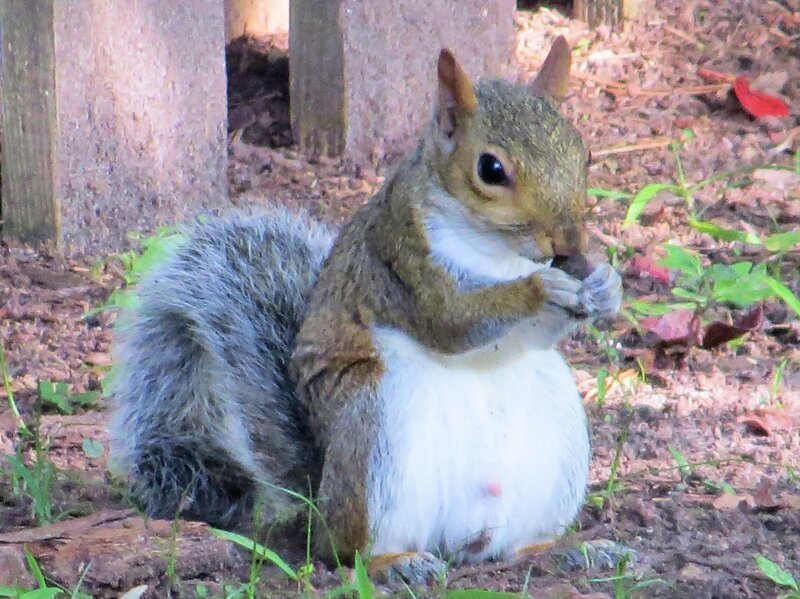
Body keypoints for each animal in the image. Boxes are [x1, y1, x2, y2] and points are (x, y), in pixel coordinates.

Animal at [109, 36, 623, 585]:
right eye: (491, 169)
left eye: (585, 155)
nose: (569, 243)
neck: (496, 251)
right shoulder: (402, 261)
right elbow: (451, 320)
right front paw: (539, 288)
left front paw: (607, 283)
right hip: (375, 425)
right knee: (348, 551)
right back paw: (397, 562)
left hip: (554, 444)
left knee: (515, 546)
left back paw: (567, 549)